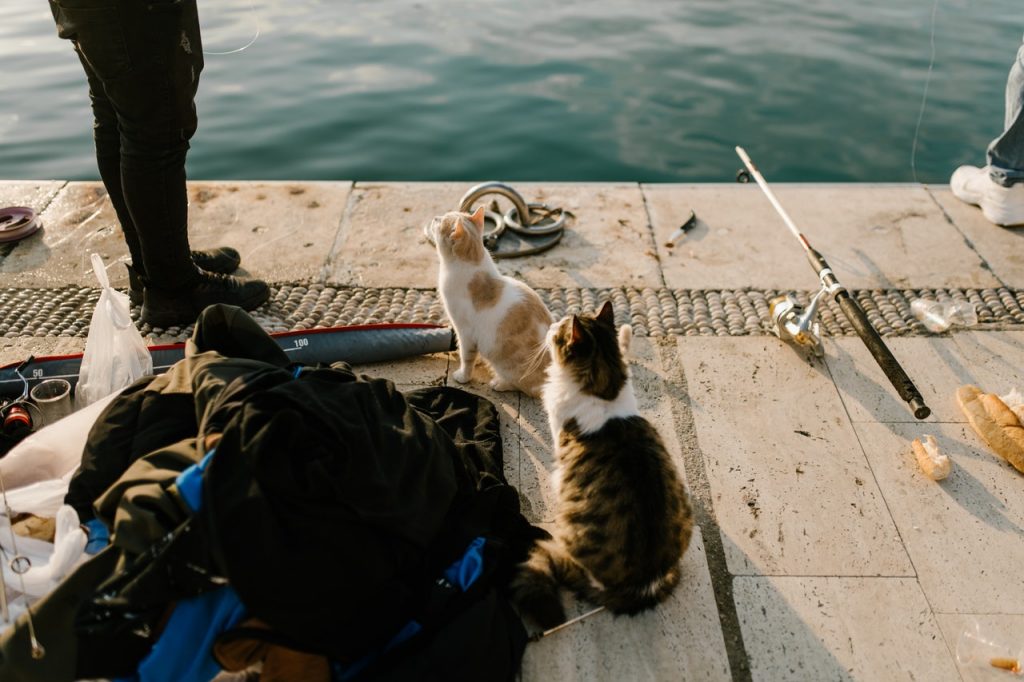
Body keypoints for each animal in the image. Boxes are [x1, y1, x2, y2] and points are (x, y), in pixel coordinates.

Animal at [423, 208, 552, 399]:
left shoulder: (465, 331)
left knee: (527, 387)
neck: (473, 260)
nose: (435, 217)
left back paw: (499, 383)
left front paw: (463, 376)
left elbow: (466, 355)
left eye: (441, 221)